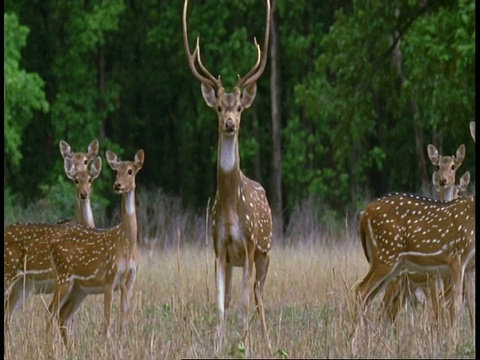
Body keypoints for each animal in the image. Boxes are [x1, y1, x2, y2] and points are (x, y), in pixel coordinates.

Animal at [48, 148, 144, 346]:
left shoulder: (129, 280)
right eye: (116, 171)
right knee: (50, 313)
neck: (126, 244)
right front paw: (106, 343)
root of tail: (52, 248)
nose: (117, 185)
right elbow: (107, 318)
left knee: (61, 315)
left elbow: (124, 316)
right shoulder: (109, 276)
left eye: (130, 171)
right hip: (63, 279)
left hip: (77, 288)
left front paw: (122, 341)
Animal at [182, 0, 272, 354]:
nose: (231, 123)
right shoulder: (219, 248)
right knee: (239, 297)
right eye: (219, 107)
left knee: (259, 297)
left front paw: (245, 345)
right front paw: (217, 346)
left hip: (265, 253)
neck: (234, 208)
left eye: (240, 108)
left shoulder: (248, 246)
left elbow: (246, 304)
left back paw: (267, 342)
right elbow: (221, 305)